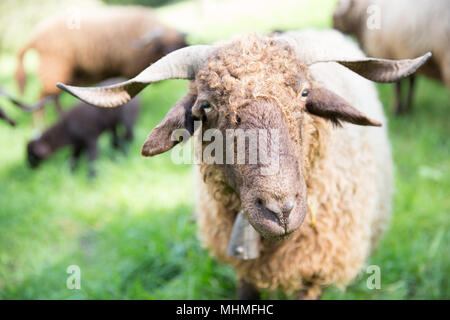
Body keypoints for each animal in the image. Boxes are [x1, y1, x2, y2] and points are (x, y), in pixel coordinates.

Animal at [14, 4, 186, 117]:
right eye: (163, 46)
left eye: (178, 44)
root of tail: (34, 36)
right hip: (53, 68)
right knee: (43, 98)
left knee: (51, 98)